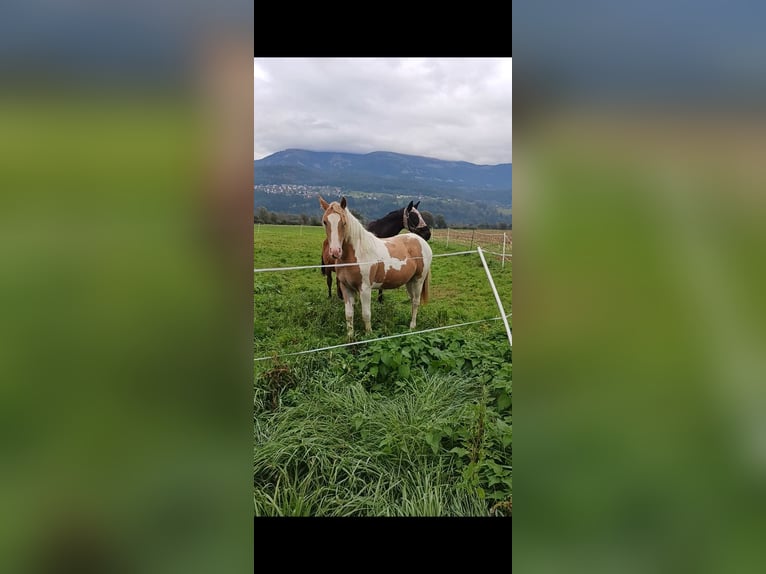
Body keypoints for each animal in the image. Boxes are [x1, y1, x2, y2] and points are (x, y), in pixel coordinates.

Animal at [320, 198, 436, 342]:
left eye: (344, 222)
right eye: (325, 221)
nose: (335, 251)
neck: (356, 254)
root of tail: (421, 241)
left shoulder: (365, 289)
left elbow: (366, 314)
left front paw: (369, 336)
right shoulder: (346, 287)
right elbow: (349, 314)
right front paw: (350, 338)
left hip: (418, 280)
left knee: (415, 302)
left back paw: (412, 327)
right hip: (410, 282)